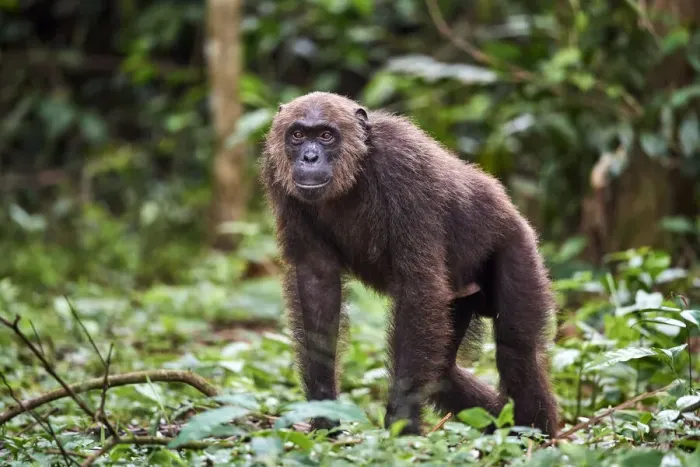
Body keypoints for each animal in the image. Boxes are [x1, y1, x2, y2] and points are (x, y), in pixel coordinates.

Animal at [260, 92, 559, 437]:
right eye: (297, 135)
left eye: (325, 135)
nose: (309, 157)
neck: (356, 170)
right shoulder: (276, 176)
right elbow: (317, 283)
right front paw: (324, 414)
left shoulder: (405, 170)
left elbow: (418, 286)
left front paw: (400, 425)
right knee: (443, 373)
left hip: (517, 248)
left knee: (516, 351)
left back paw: (533, 436)